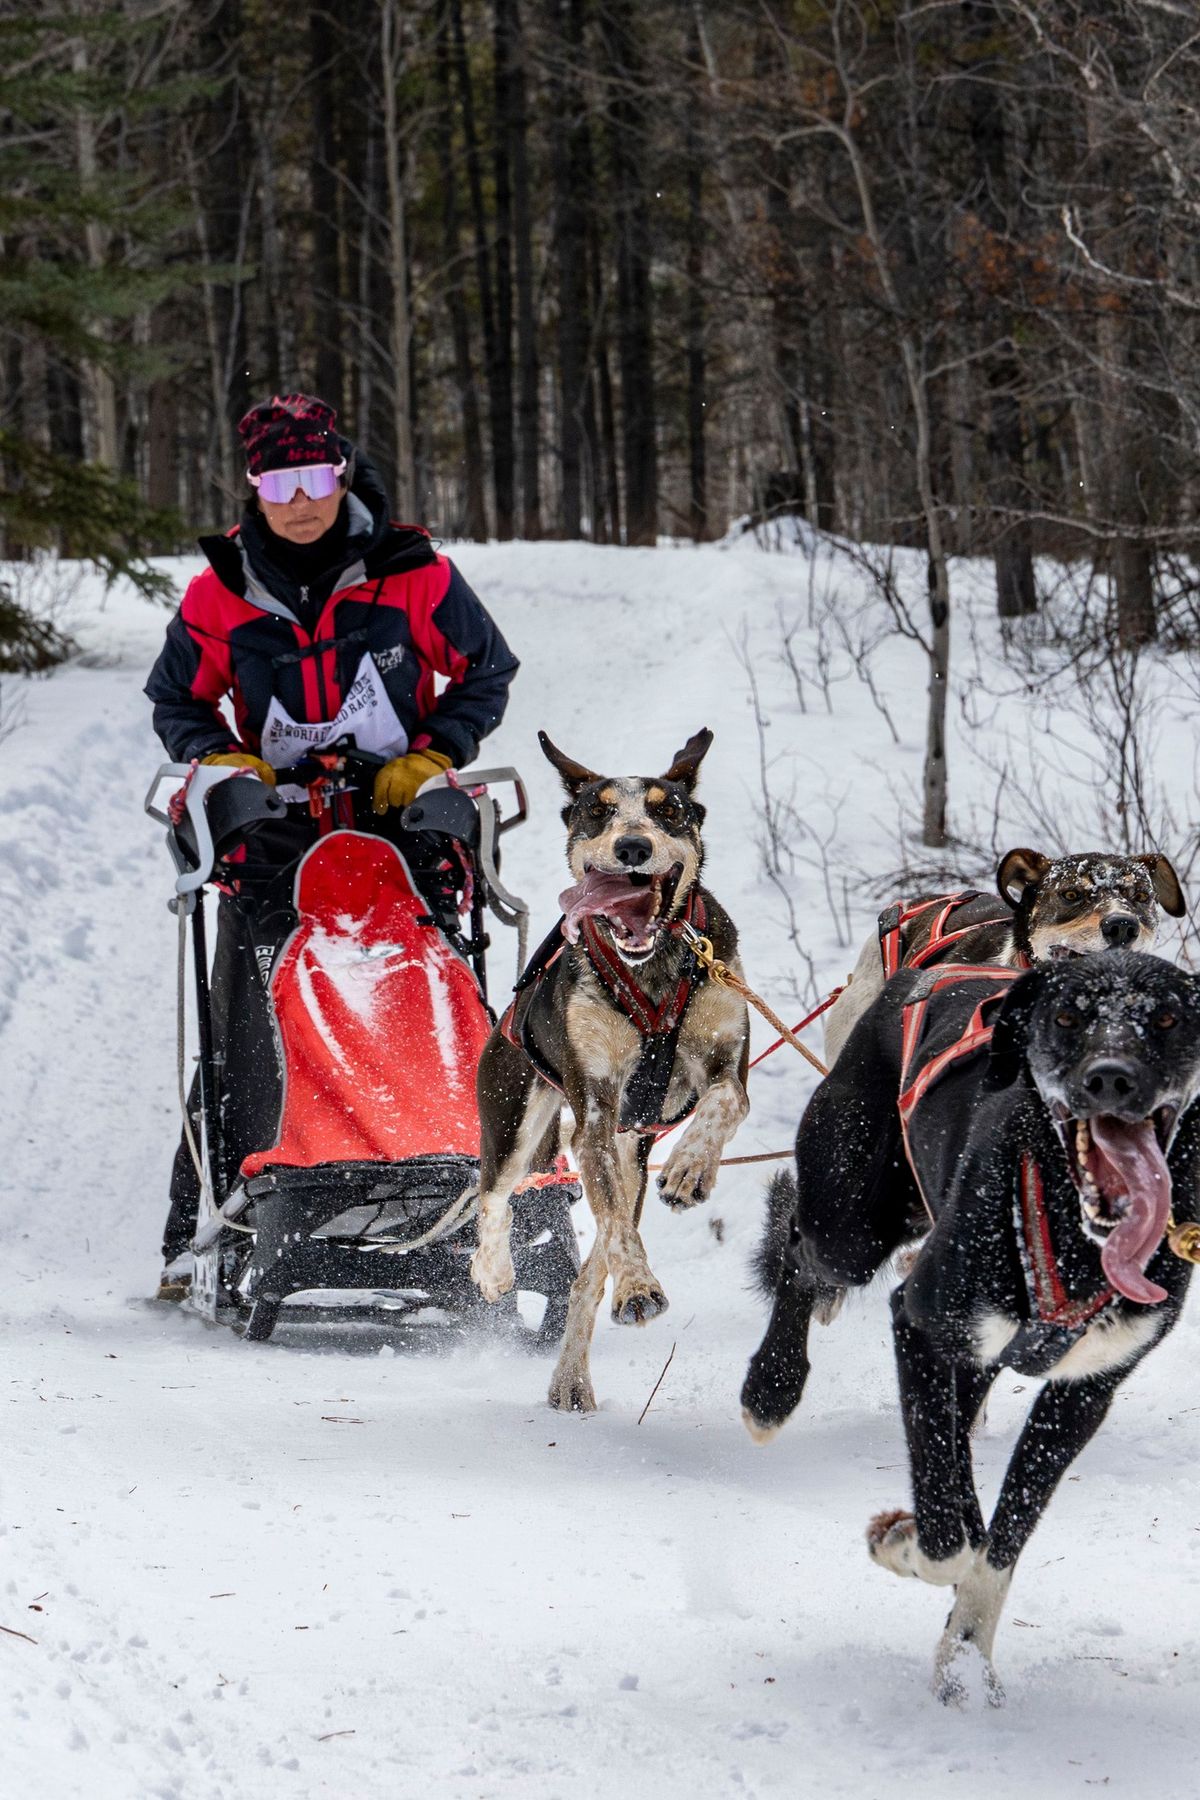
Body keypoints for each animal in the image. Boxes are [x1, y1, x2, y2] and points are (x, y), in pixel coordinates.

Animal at [467, 727, 752, 1404]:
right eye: (597, 810)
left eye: (668, 810)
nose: (632, 846)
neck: (650, 970)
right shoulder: (594, 1108)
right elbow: (617, 1229)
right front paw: (641, 1288)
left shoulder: (727, 1061)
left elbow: (727, 1101)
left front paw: (691, 1169)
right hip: (519, 1116)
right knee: (496, 1192)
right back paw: (495, 1269)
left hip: (626, 1153)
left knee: (589, 1269)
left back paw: (573, 1371)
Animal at [741, 957, 1200, 1699]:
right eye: (1066, 1016)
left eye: (1165, 1017)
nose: (1110, 1077)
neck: (1075, 1239)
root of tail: (920, 974)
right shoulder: (919, 1322)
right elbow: (945, 1537)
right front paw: (904, 1543)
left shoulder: (1085, 1392)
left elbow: (1004, 1538)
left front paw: (965, 1658)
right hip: (854, 1226)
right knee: (800, 1253)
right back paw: (770, 1389)